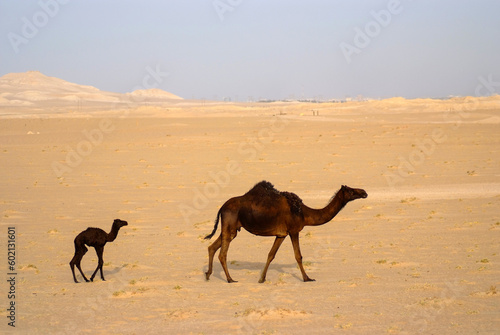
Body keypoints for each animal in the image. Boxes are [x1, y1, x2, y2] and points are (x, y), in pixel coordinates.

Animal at [204, 181, 368, 284]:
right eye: (351, 190)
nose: (364, 192)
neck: (304, 213)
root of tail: (222, 207)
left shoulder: (281, 234)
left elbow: (271, 255)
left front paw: (262, 279)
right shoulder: (294, 230)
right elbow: (298, 256)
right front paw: (307, 278)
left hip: (231, 227)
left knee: (212, 247)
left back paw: (208, 275)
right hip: (230, 225)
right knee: (222, 253)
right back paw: (230, 279)